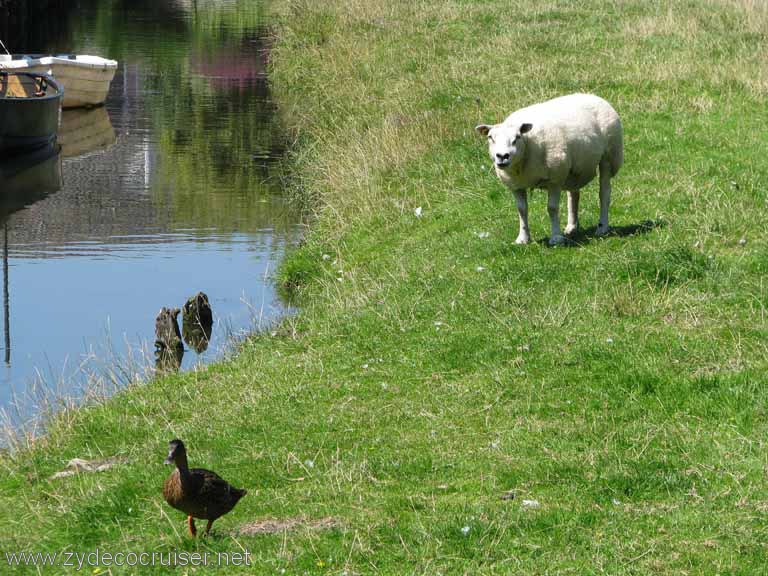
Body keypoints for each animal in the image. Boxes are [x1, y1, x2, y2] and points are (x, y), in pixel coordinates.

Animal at [474, 93, 624, 245]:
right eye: (490, 137)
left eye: (517, 137)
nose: (502, 156)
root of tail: (591, 95)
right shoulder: (516, 185)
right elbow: (522, 210)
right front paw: (523, 238)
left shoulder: (555, 180)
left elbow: (552, 208)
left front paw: (556, 237)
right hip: (572, 169)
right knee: (573, 195)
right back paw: (572, 227)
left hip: (609, 155)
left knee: (604, 193)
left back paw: (602, 227)